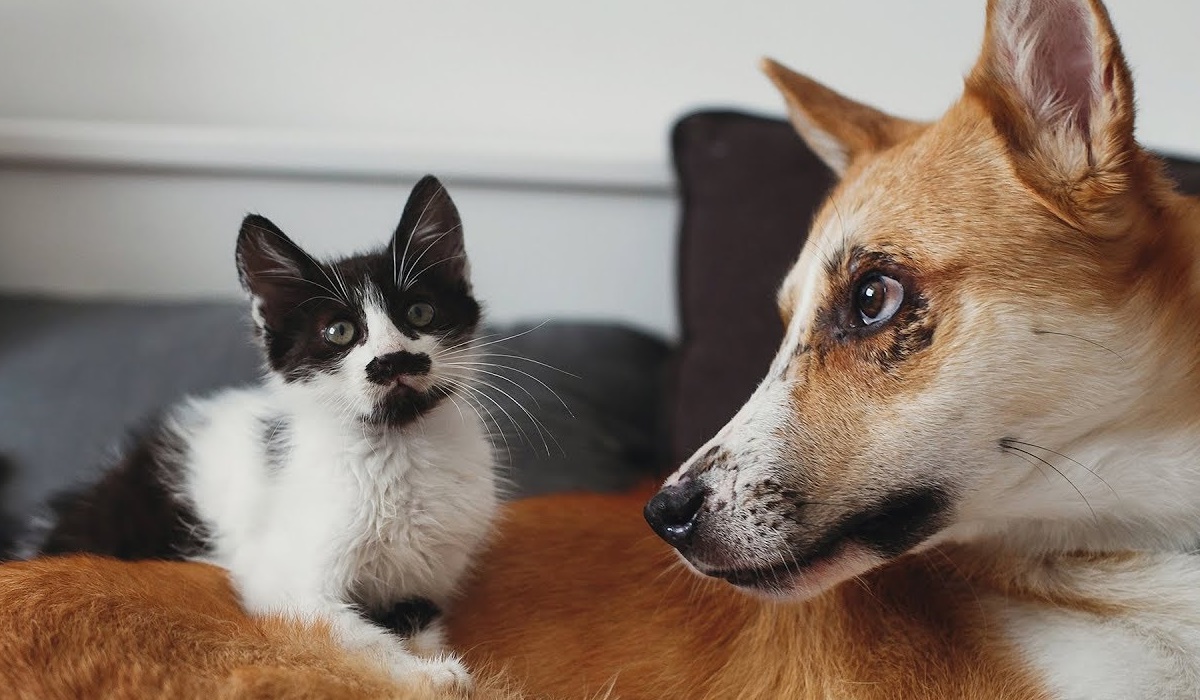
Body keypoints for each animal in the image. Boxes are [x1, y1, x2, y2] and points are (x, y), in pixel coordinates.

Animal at [28, 175, 496, 691]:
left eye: (419, 313)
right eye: (339, 331)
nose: (393, 360)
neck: (398, 448)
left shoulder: (429, 572)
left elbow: (417, 617)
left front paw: (428, 658)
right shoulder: (278, 578)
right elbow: (347, 629)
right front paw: (424, 676)